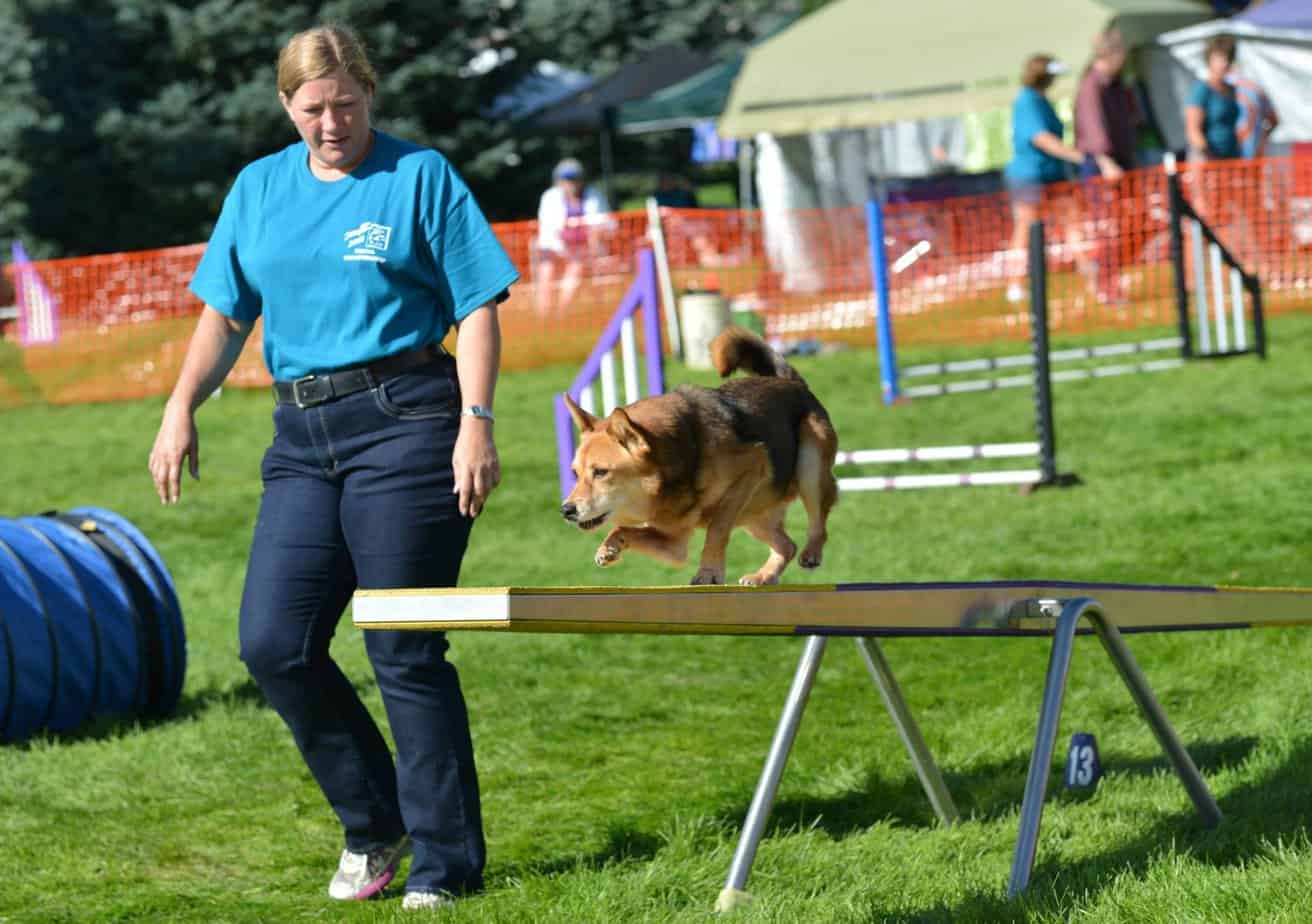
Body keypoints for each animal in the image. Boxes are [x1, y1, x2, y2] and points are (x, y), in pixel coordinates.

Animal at [558, 326, 834, 585]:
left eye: (601, 472)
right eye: (575, 474)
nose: (566, 510)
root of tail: (793, 383)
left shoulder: (752, 466)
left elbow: (717, 528)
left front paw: (709, 573)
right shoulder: (674, 542)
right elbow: (622, 528)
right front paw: (609, 549)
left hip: (807, 467)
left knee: (817, 524)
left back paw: (811, 553)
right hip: (753, 514)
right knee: (787, 546)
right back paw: (763, 576)